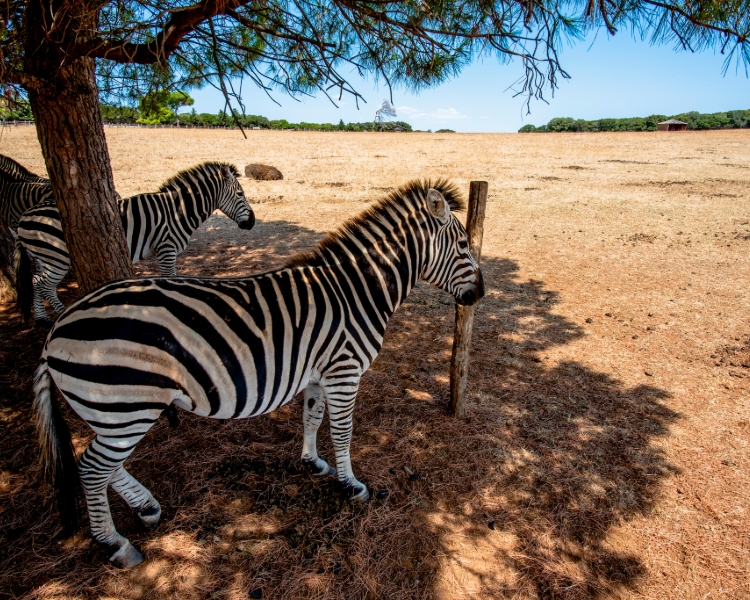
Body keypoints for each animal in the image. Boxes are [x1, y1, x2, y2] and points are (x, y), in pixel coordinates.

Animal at [15, 162, 255, 324]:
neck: (178, 212)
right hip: (57, 257)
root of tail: (23, 218)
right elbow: (170, 278)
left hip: (43, 256)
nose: (252, 222)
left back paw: (41, 318)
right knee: (44, 284)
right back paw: (60, 314)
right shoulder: (167, 249)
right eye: (240, 194)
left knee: (36, 281)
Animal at [33, 179, 484, 568]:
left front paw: (312, 462)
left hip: (112, 412)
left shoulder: (319, 373)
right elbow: (342, 431)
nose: (481, 294)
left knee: (106, 467)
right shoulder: (344, 370)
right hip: (126, 405)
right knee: (93, 469)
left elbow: (311, 418)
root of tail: (56, 330)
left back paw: (146, 508)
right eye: (464, 245)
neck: (357, 292)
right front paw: (350, 484)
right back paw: (114, 544)